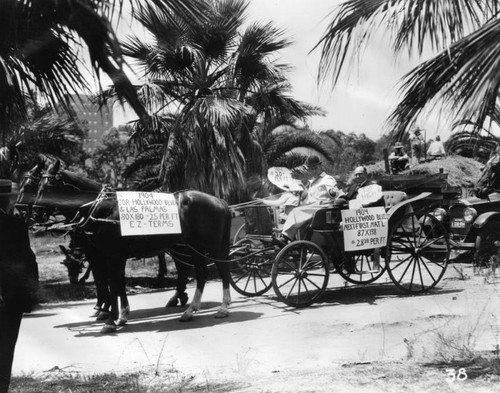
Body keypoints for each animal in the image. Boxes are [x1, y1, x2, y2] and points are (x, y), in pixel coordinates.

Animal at [34, 159, 233, 330]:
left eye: (49, 185)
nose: (35, 212)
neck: (104, 209)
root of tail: (220, 201)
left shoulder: (110, 255)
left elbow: (112, 283)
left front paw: (110, 318)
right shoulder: (110, 255)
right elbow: (115, 282)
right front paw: (120, 314)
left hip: (213, 247)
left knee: (222, 270)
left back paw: (223, 307)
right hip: (193, 247)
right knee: (199, 273)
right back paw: (190, 309)